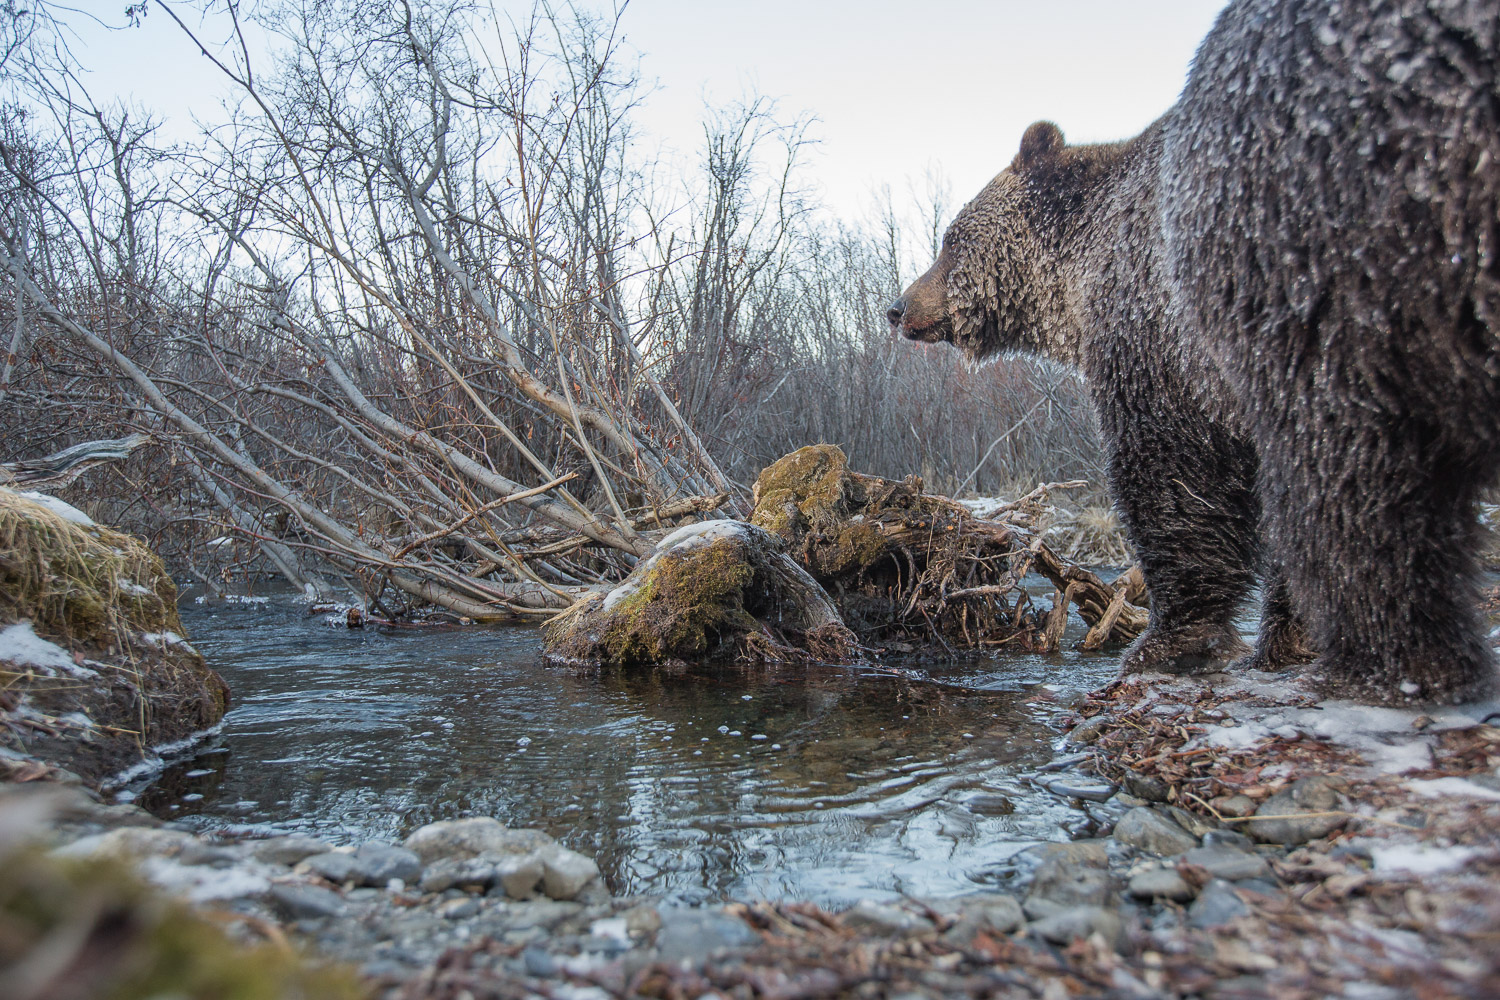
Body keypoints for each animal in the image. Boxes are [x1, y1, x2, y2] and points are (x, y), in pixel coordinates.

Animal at [888, 0, 1500, 707]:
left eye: (951, 238)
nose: (898, 307)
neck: (1078, 281)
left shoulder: (1159, 338)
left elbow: (1180, 478)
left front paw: (1173, 640)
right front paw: (1285, 637)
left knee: (1357, 472)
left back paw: (1391, 658)